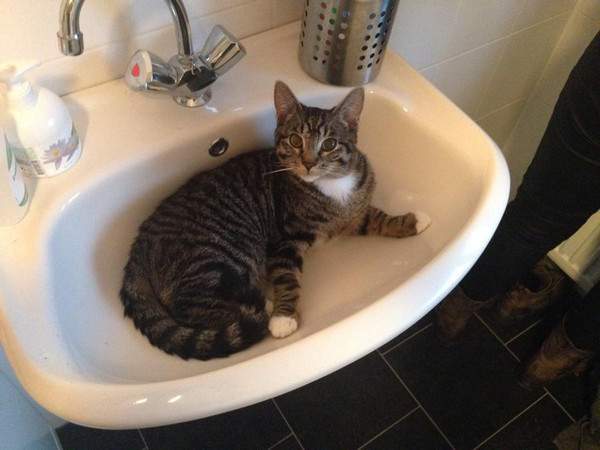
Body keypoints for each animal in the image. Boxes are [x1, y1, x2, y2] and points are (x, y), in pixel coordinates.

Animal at [120, 81, 432, 360]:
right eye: (295, 140)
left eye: (330, 144)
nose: (308, 162)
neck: (332, 188)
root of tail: (140, 243)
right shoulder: (284, 241)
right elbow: (287, 276)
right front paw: (284, 316)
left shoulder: (354, 216)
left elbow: (377, 217)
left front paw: (412, 220)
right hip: (222, 252)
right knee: (191, 308)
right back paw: (265, 307)